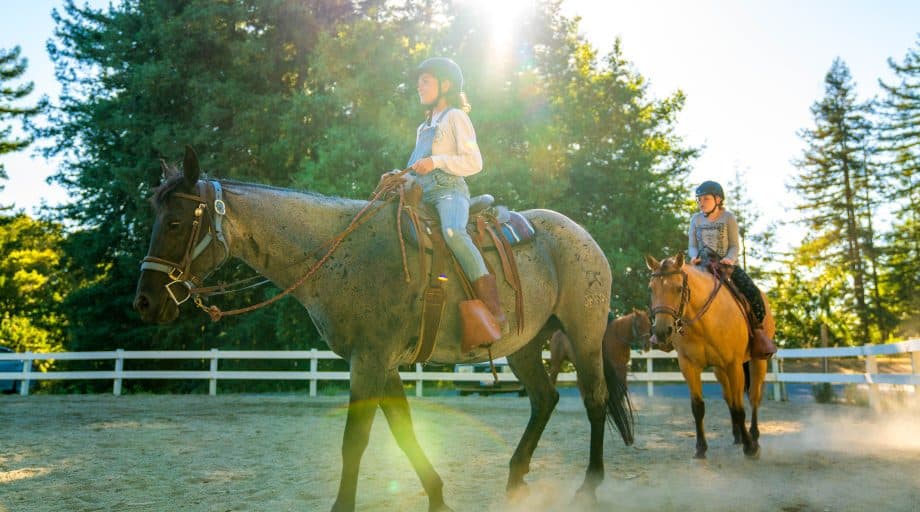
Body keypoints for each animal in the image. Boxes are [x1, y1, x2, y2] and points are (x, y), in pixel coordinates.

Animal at [131, 146, 632, 510]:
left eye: (175, 222)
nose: (145, 302)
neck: (337, 250)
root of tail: (582, 237)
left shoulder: (369, 360)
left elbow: (356, 440)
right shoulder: (383, 363)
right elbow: (403, 431)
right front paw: (437, 497)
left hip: (584, 335)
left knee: (593, 400)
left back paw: (589, 486)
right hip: (524, 345)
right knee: (545, 399)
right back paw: (514, 478)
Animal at [648, 254, 768, 458]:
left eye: (679, 288)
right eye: (651, 288)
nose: (662, 332)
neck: (703, 322)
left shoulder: (734, 365)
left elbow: (740, 408)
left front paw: (750, 447)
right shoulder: (689, 366)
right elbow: (698, 407)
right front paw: (700, 448)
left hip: (758, 361)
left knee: (754, 397)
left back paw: (754, 435)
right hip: (719, 370)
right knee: (729, 397)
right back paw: (737, 435)